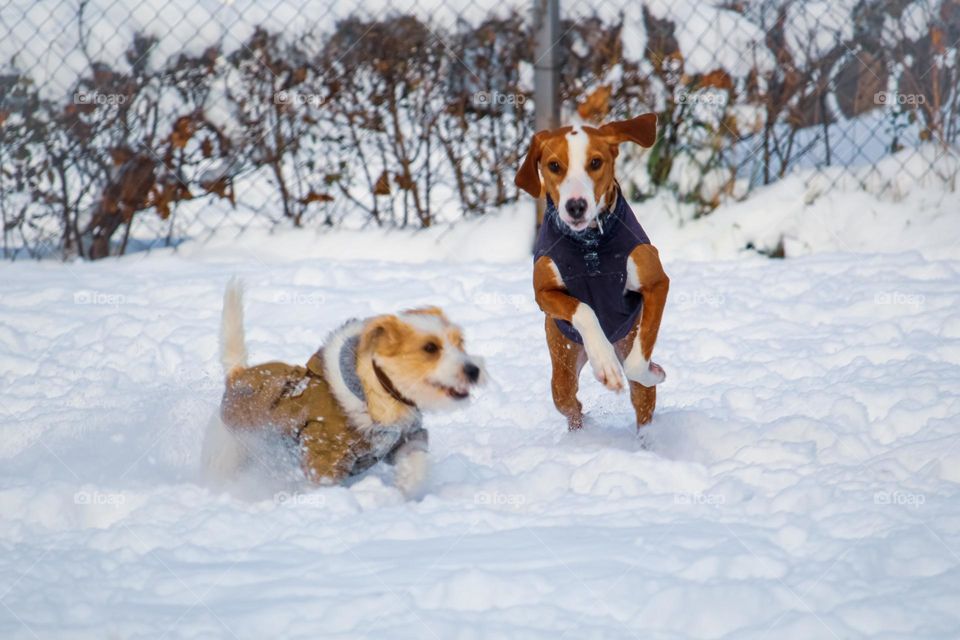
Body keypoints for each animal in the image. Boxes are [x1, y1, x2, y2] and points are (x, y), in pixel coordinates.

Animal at [203, 282, 488, 498]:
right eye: (430, 348)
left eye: (460, 342)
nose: (474, 370)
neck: (377, 392)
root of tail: (237, 375)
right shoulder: (323, 456)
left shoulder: (405, 438)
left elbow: (415, 461)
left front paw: (407, 487)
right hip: (232, 450)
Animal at [516, 115, 668, 432]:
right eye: (554, 166)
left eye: (596, 162)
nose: (576, 205)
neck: (589, 244)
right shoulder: (543, 292)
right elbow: (583, 308)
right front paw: (605, 363)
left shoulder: (657, 284)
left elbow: (637, 367)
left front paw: (654, 371)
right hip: (563, 356)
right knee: (570, 401)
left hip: (628, 338)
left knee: (643, 403)